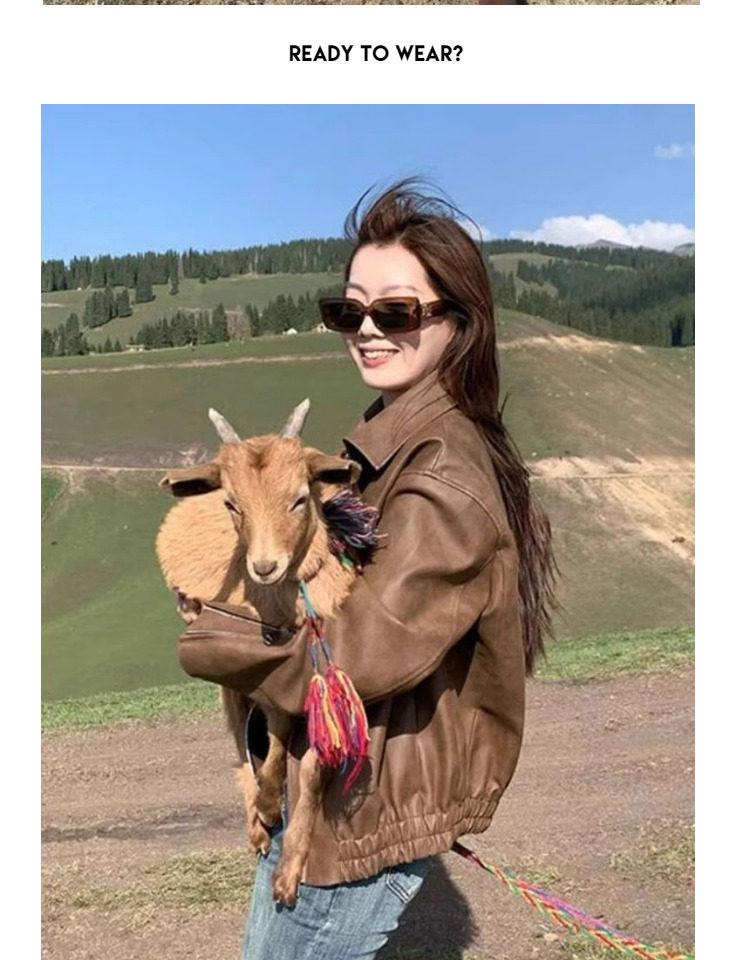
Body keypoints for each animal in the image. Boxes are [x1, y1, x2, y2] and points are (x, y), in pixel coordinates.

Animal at [156, 401, 364, 906]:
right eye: (232, 503)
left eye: (300, 498)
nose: (265, 566)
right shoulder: (254, 674)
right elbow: (269, 737)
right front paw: (266, 809)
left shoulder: (319, 683)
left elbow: (307, 764)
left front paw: (289, 873)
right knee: (239, 742)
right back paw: (256, 822)